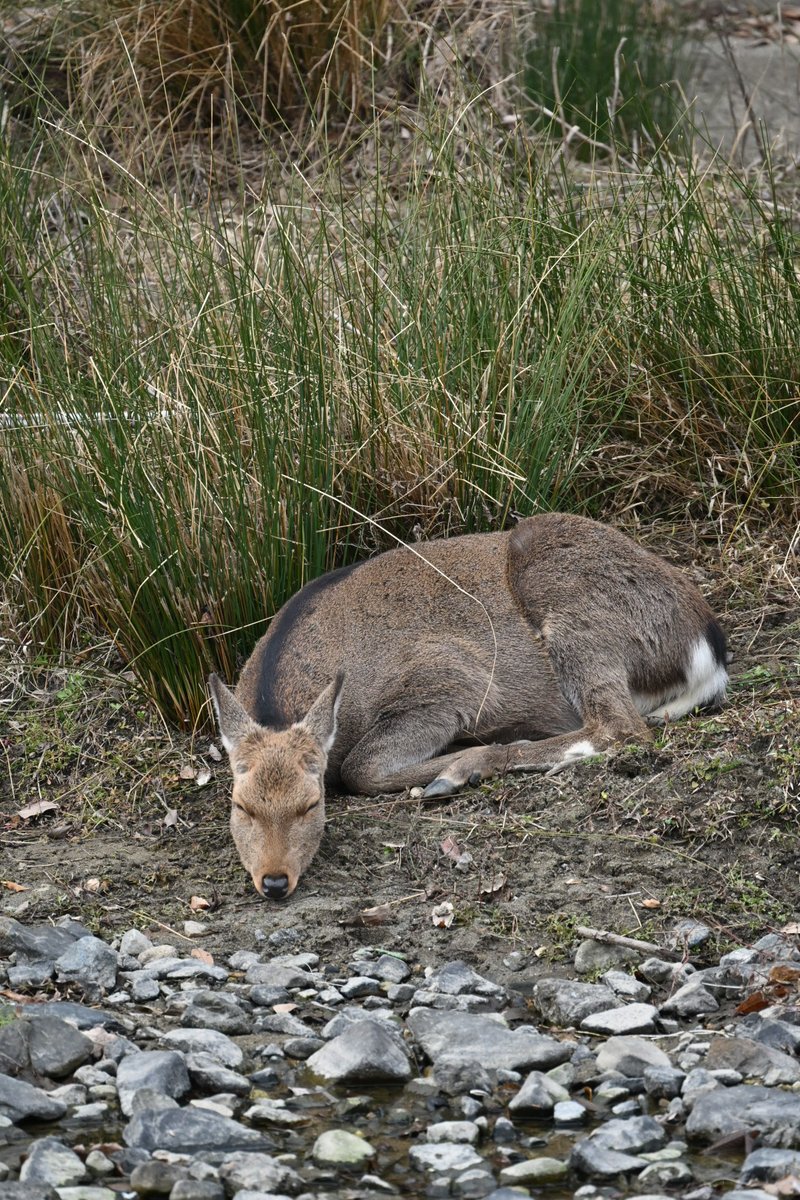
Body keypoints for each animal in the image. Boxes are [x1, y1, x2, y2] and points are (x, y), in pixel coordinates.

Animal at [209, 513, 728, 900]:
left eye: (310, 804)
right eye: (240, 805)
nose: (275, 881)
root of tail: (708, 646)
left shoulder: (449, 681)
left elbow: (360, 768)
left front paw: (453, 766)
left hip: (572, 604)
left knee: (621, 728)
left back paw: (464, 768)